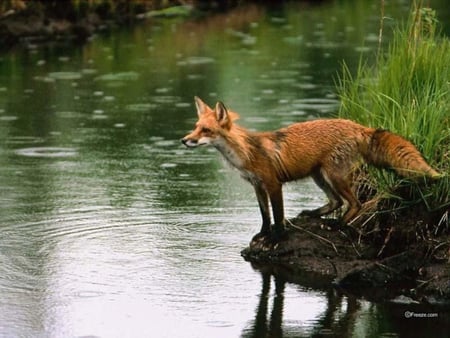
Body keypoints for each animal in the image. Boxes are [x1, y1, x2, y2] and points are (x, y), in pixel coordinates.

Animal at [180, 96, 440, 242]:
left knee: (355, 203)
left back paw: (337, 225)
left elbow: (278, 215)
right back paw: (313, 214)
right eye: (195, 127)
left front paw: (277, 239)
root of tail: (358, 126)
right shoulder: (257, 186)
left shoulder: (273, 184)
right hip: (319, 176)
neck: (247, 152)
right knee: (336, 201)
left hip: (333, 175)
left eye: (206, 130)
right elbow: (265, 215)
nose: (184, 140)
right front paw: (263, 234)